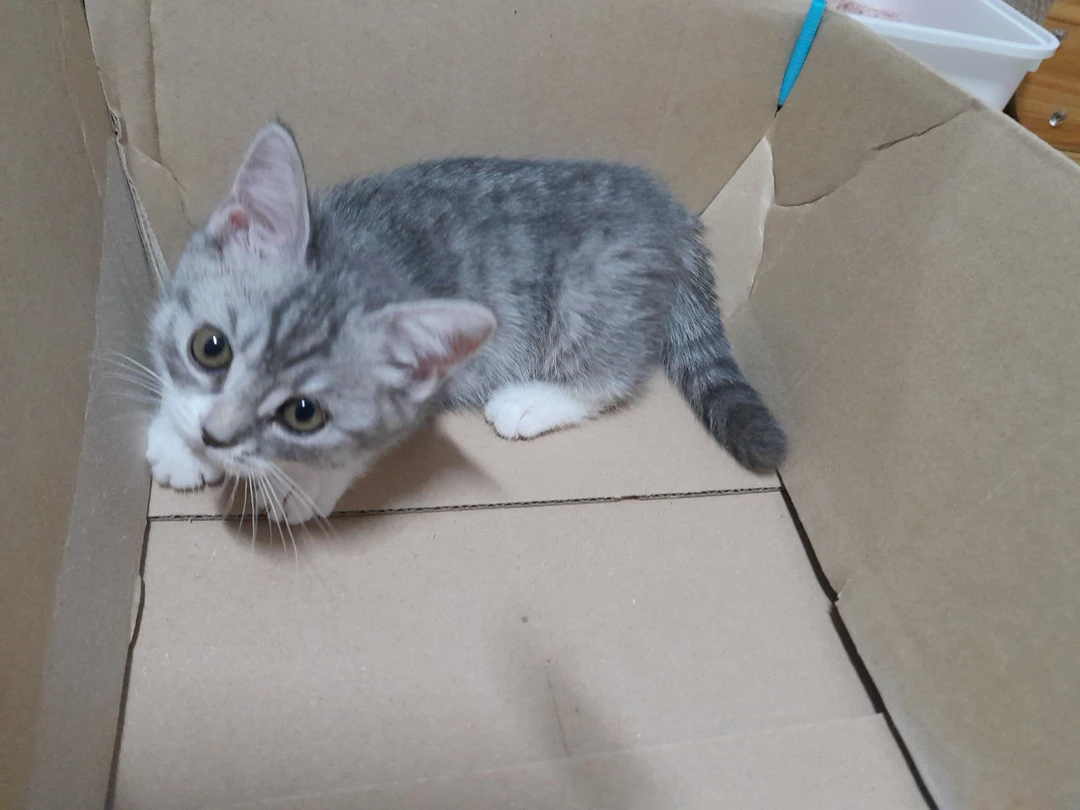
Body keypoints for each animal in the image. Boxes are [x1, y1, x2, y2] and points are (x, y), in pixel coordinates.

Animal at [146, 121, 786, 524]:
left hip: (593, 295)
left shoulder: (429, 381)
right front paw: (178, 440)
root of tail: (672, 212)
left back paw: (530, 401)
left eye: (305, 413)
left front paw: (303, 484)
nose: (211, 438)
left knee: (613, 371)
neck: (362, 246)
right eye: (210, 347)